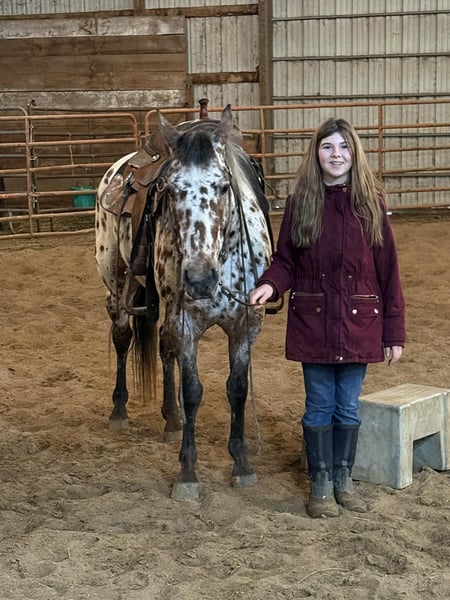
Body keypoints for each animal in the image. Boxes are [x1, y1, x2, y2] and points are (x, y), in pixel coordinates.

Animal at [95, 105, 273, 500]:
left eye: (224, 186)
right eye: (172, 190)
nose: (199, 278)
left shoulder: (246, 326)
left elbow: (237, 389)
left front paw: (242, 464)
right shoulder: (186, 323)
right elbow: (193, 391)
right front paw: (188, 473)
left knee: (164, 347)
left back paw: (172, 418)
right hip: (117, 282)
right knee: (122, 336)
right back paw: (119, 410)